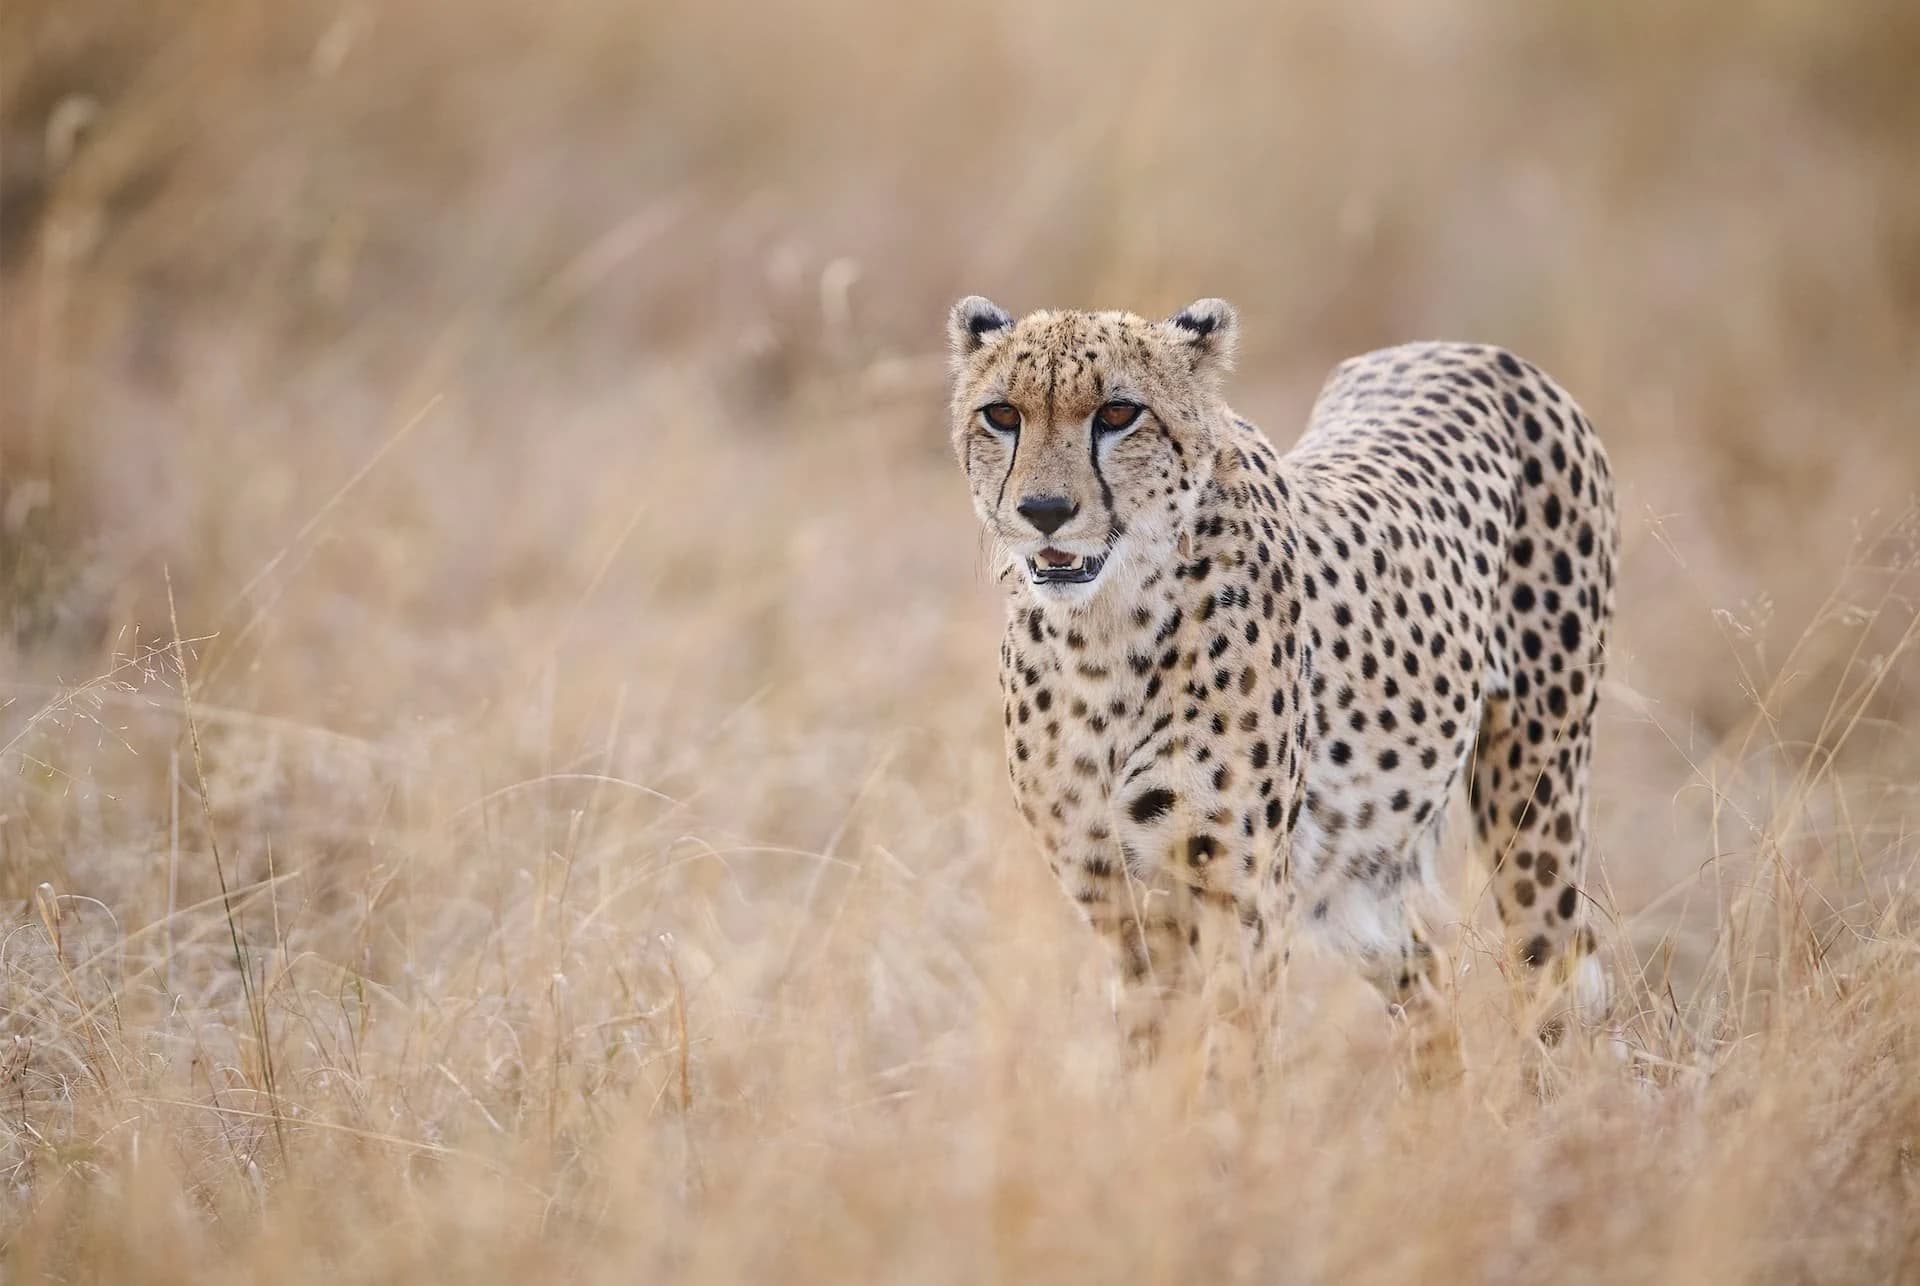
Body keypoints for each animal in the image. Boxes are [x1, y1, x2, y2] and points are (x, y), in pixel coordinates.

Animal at [947, 295, 1619, 1074]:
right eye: (1002, 414)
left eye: (1118, 413)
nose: (1045, 511)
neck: (1103, 634)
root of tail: (1473, 350)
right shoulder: (1120, 904)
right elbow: (1157, 1057)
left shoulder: (1243, 897)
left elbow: (1233, 1060)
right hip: (1355, 877)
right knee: (1425, 978)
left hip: (1535, 803)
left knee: (1553, 980)